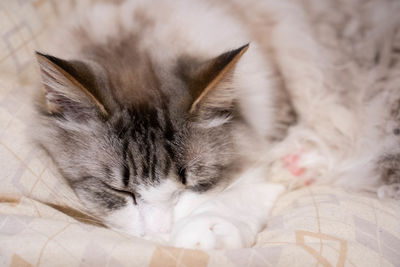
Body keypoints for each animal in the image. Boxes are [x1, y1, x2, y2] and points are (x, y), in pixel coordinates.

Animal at [32, 0, 400, 250]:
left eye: (193, 185)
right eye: (120, 192)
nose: (160, 236)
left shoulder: (277, 123)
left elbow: (250, 186)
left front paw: (204, 233)